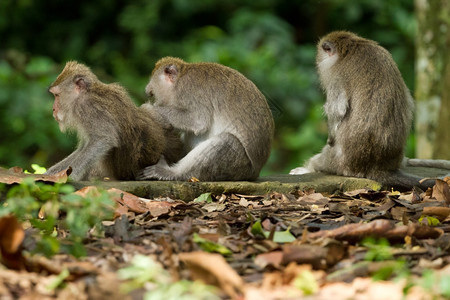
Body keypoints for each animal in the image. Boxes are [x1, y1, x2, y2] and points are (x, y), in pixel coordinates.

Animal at [44, 61, 181, 180]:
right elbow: (84, 147)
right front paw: (51, 174)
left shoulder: (89, 108)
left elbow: (103, 139)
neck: (85, 94)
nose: (53, 109)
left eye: (57, 95)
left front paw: (70, 176)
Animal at [138, 57, 274, 182]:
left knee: (226, 140)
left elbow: (198, 121)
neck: (181, 77)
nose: (146, 89)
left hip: (239, 167)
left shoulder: (189, 89)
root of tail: (255, 173)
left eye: (152, 92)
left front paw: (149, 109)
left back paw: (173, 173)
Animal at [290, 31, 448, 190]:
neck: (350, 48)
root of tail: (377, 168)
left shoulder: (337, 75)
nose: (318, 61)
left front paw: (330, 137)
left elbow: (338, 110)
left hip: (335, 161)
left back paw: (308, 168)